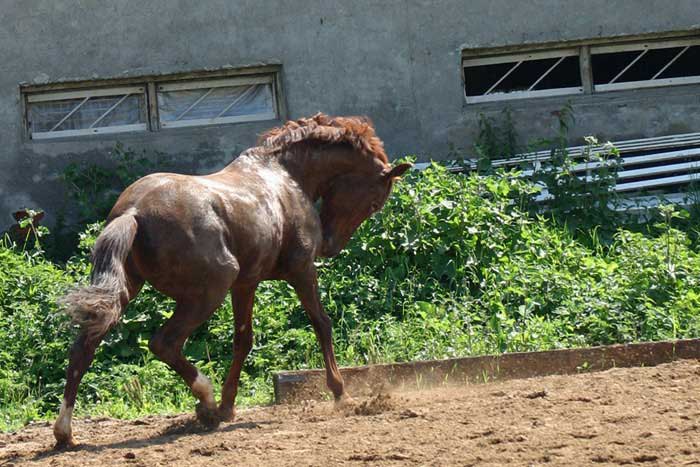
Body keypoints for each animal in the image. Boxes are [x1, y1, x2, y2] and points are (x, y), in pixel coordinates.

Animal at [56, 113, 416, 450]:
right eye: (374, 202)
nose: (330, 246)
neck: (287, 175)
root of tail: (133, 211)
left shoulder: (245, 284)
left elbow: (243, 339)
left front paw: (230, 406)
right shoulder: (302, 270)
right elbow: (321, 324)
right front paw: (341, 393)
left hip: (128, 289)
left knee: (84, 347)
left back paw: (65, 432)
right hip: (208, 291)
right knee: (164, 343)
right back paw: (206, 402)